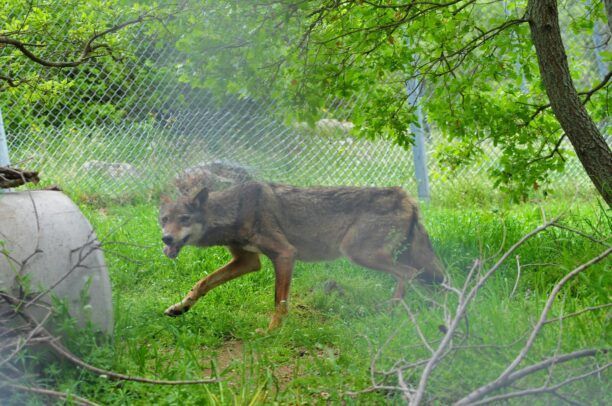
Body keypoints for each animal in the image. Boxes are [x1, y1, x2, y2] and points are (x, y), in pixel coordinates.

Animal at [160, 182, 442, 328]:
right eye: (164, 220)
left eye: (184, 219)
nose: (166, 239)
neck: (235, 210)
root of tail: (406, 196)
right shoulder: (247, 261)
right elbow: (203, 283)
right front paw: (180, 307)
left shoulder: (285, 254)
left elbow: (279, 302)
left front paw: (271, 333)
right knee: (416, 278)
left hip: (359, 254)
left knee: (408, 274)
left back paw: (390, 312)